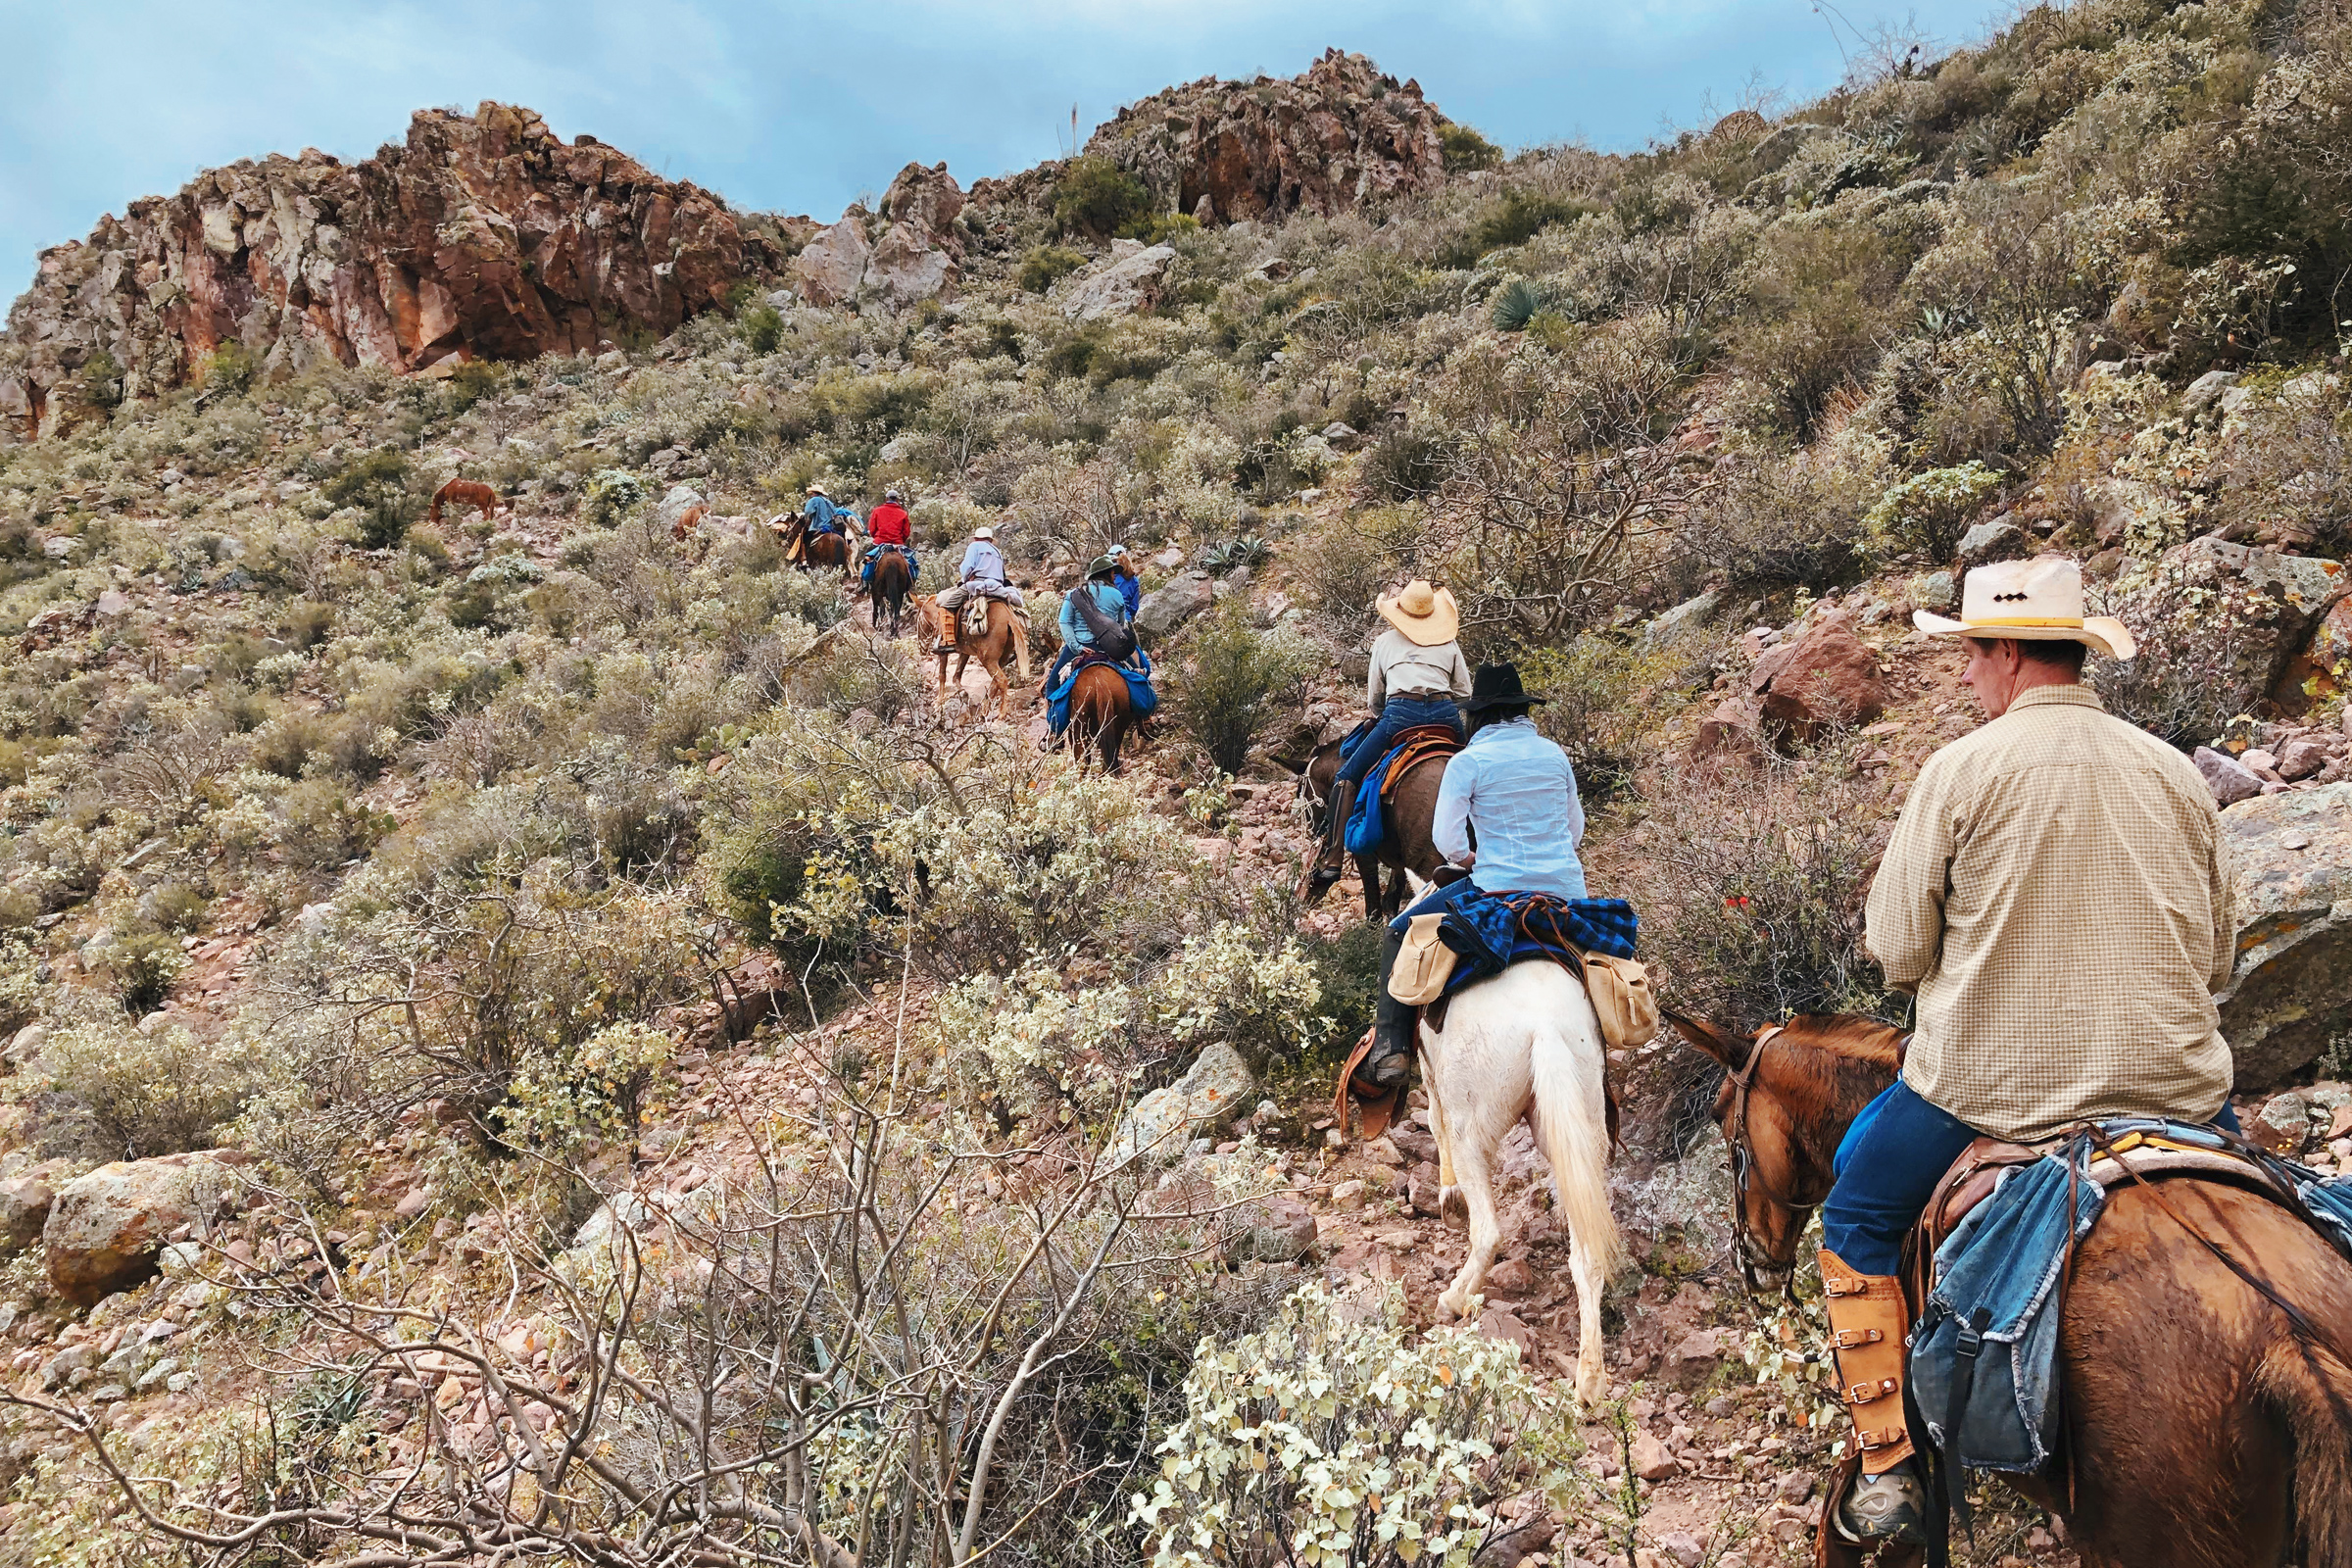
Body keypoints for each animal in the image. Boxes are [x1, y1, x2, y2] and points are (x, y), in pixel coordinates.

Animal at [917, 594, 1030, 719]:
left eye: (918, 620)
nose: (921, 649)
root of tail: (1009, 617)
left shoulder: (943, 653)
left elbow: (942, 675)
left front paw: (939, 700)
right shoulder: (965, 652)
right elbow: (957, 675)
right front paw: (962, 692)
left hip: (987, 660)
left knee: (1002, 680)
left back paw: (1001, 713)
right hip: (1001, 658)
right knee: (994, 683)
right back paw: (984, 710)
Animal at [1289, 738, 1448, 921]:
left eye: (1300, 791)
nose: (1314, 833)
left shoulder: (1363, 849)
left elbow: (1372, 893)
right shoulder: (1400, 861)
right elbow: (1392, 896)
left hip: (1427, 863)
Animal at [1411, 963, 1618, 1400]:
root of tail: (1544, 1025)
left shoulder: (1429, 1069)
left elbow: (1434, 1121)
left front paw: (1448, 1196)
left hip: (1471, 1133)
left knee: (1488, 1231)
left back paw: (1453, 1299)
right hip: (1580, 1130)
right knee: (1588, 1256)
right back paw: (1590, 1378)